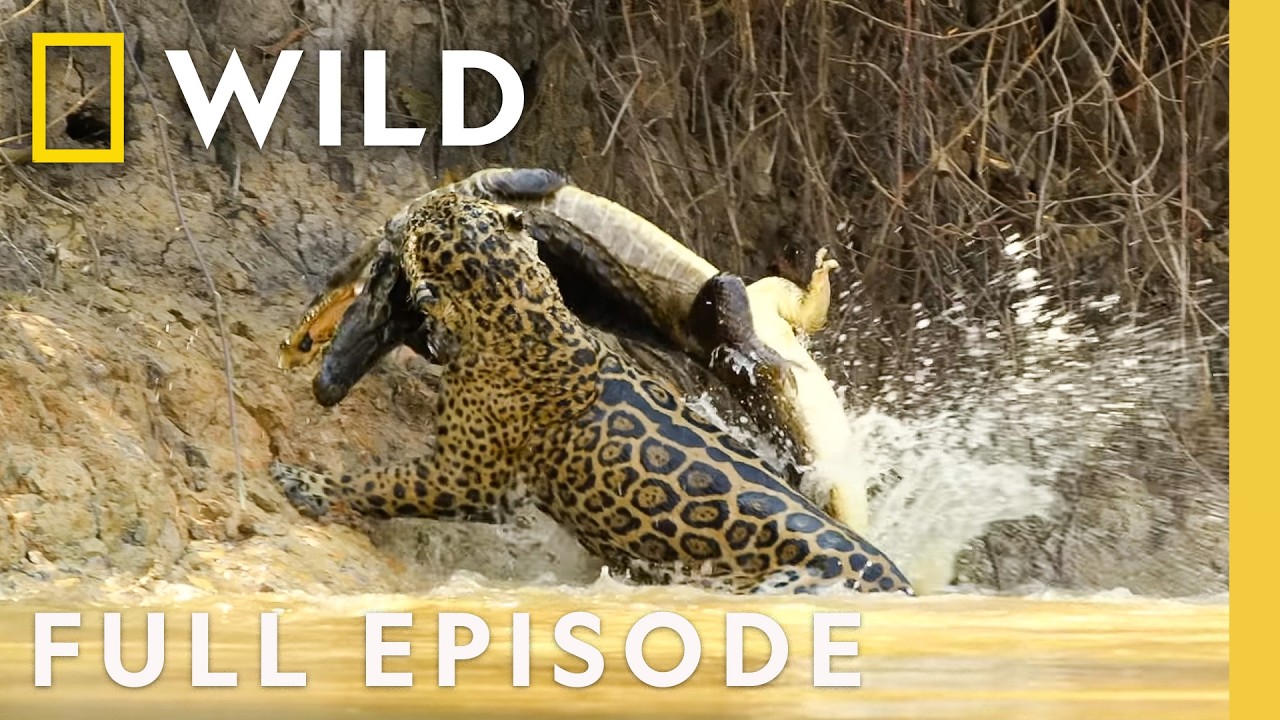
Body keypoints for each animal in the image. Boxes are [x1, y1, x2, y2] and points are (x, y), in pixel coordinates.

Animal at [271, 191, 914, 595]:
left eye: (424, 222)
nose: (395, 219)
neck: (515, 305)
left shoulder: (466, 475)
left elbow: (382, 483)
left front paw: (302, 482)